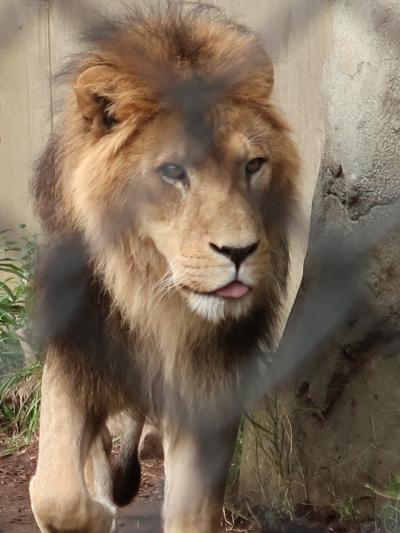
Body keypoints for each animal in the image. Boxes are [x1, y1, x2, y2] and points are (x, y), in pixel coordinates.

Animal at [29, 4, 300, 532]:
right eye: (173, 172)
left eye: (253, 165)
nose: (239, 251)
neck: (153, 298)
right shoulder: (76, 353)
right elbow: (57, 495)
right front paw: (96, 510)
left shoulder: (210, 383)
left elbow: (191, 509)